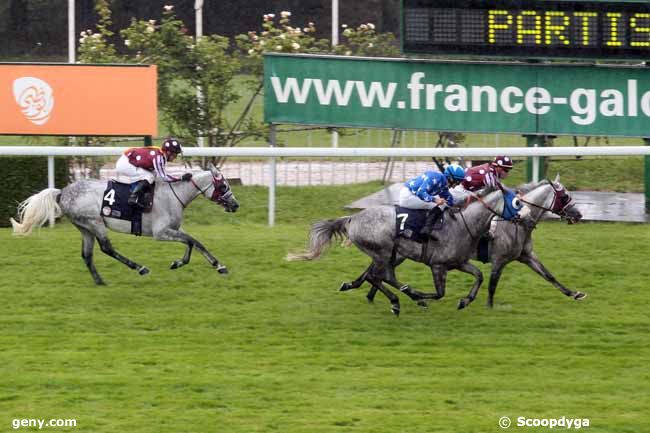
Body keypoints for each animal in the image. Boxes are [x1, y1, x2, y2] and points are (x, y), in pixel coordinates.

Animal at [10, 165, 238, 284]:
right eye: (223, 186)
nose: (236, 205)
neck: (174, 194)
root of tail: (62, 192)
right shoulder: (161, 232)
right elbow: (192, 241)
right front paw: (184, 263)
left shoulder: (174, 228)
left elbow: (194, 242)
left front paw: (214, 265)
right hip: (95, 222)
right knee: (106, 248)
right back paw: (140, 268)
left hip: (85, 228)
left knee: (87, 255)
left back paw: (100, 281)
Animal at [288, 186, 528, 314]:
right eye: (516, 202)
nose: (526, 217)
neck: (462, 223)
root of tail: (352, 218)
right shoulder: (438, 265)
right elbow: (439, 293)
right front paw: (421, 296)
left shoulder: (458, 262)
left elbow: (478, 276)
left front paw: (464, 301)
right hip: (382, 251)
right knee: (376, 276)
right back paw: (398, 300)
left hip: (390, 253)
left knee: (384, 276)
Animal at [364, 175, 584, 308]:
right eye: (565, 196)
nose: (578, 215)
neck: (515, 224)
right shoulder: (499, 260)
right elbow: (492, 284)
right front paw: (489, 306)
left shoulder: (527, 256)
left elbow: (549, 276)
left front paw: (574, 293)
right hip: (399, 253)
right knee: (375, 272)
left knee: (380, 272)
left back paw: (374, 295)